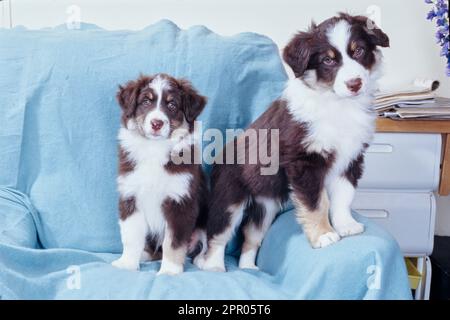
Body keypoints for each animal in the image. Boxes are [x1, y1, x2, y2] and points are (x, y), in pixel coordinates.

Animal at [114, 73, 209, 276]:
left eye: (172, 105)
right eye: (145, 102)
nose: (156, 123)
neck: (154, 149)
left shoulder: (180, 202)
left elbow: (173, 242)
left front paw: (170, 270)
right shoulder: (130, 196)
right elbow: (131, 235)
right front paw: (127, 263)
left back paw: (203, 260)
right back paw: (144, 255)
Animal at [198, 13, 390, 272]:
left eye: (358, 50)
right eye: (328, 60)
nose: (355, 84)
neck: (337, 104)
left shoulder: (351, 157)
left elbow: (344, 196)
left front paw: (346, 225)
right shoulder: (304, 162)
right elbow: (317, 203)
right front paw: (324, 236)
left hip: (265, 206)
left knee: (251, 237)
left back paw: (249, 268)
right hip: (229, 198)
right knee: (218, 235)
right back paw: (214, 267)